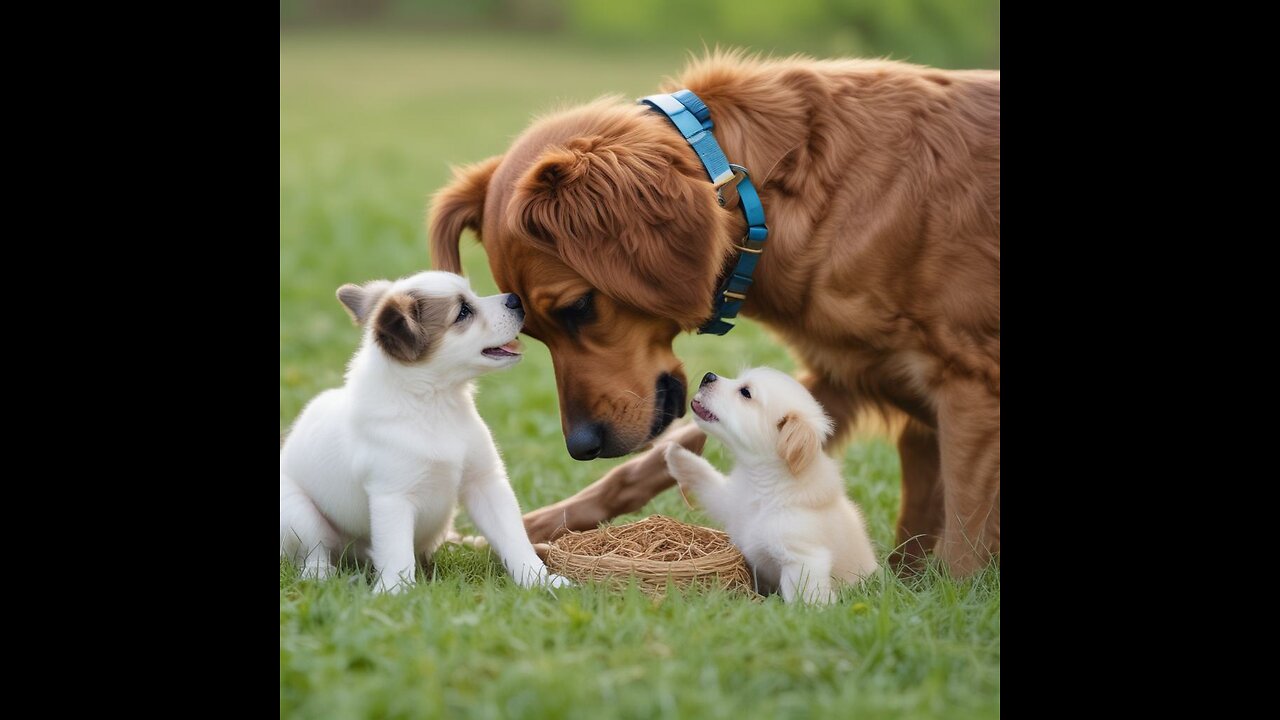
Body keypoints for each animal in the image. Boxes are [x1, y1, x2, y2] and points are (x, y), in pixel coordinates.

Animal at [282, 269, 568, 589]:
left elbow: (514, 539)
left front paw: (539, 580)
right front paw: (394, 591)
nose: (516, 299)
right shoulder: (393, 497)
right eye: (463, 312)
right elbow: (397, 555)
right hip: (298, 513)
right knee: (314, 552)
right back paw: (320, 575)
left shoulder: (485, 482)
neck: (434, 404)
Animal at [430, 51, 998, 571]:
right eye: (535, 330)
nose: (581, 446)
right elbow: (652, 461)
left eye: (579, 306)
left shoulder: (970, 391)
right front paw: (523, 533)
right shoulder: (847, 376)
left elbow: (963, 542)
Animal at [660, 366, 880, 602]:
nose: (708, 376)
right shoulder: (728, 502)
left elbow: (802, 594)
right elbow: (707, 478)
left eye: (745, 392)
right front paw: (676, 454)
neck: (759, 486)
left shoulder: (802, 559)